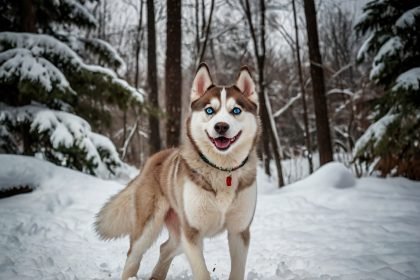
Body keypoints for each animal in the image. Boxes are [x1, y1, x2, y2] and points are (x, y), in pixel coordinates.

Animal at [95, 64, 260, 280]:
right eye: (209, 110)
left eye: (236, 110)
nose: (221, 126)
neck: (222, 170)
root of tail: (155, 157)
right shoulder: (192, 232)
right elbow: (202, 273)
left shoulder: (239, 231)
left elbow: (237, 271)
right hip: (150, 227)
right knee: (133, 255)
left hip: (179, 234)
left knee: (165, 248)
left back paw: (157, 276)